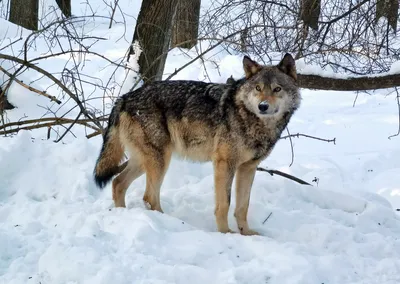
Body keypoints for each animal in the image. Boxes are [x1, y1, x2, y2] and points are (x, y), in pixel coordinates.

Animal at [94, 53, 300, 235]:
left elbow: (243, 206)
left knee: (118, 183)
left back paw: (122, 214)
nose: (262, 106)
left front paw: (246, 233)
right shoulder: (224, 164)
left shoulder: (248, 168)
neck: (253, 121)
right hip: (161, 160)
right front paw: (225, 233)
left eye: (277, 89)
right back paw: (169, 224)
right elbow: (224, 204)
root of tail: (124, 97)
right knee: (149, 196)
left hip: (145, 161)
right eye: (258, 88)